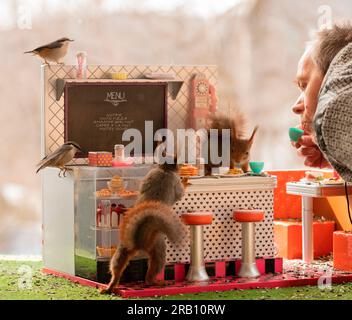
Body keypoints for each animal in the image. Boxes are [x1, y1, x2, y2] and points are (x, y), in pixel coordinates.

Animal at [99, 160, 184, 296]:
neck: (164, 169)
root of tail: (139, 241)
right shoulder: (174, 180)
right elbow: (180, 193)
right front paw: (186, 181)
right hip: (158, 246)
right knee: (153, 270)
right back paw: (156, 281)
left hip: (123, 247)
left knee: (117, 265)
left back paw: (110, 286)